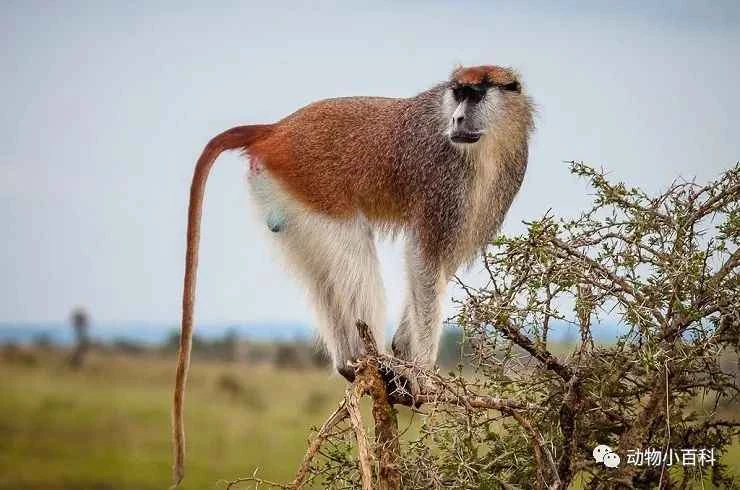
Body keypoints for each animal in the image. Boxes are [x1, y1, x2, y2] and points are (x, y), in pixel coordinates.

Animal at [172, 65, 534, 485]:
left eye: (474, 95)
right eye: (458, 93)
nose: (458, 119)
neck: (487, 146)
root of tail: (277, 129)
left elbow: (440, 268)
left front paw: (404, 348)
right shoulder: (442, 181)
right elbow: (425, 261)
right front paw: (421, 375)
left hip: (287, 195)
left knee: (324, 272)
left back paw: (351, 363)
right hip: (312, 182)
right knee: (353, 244)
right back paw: (368, 362)